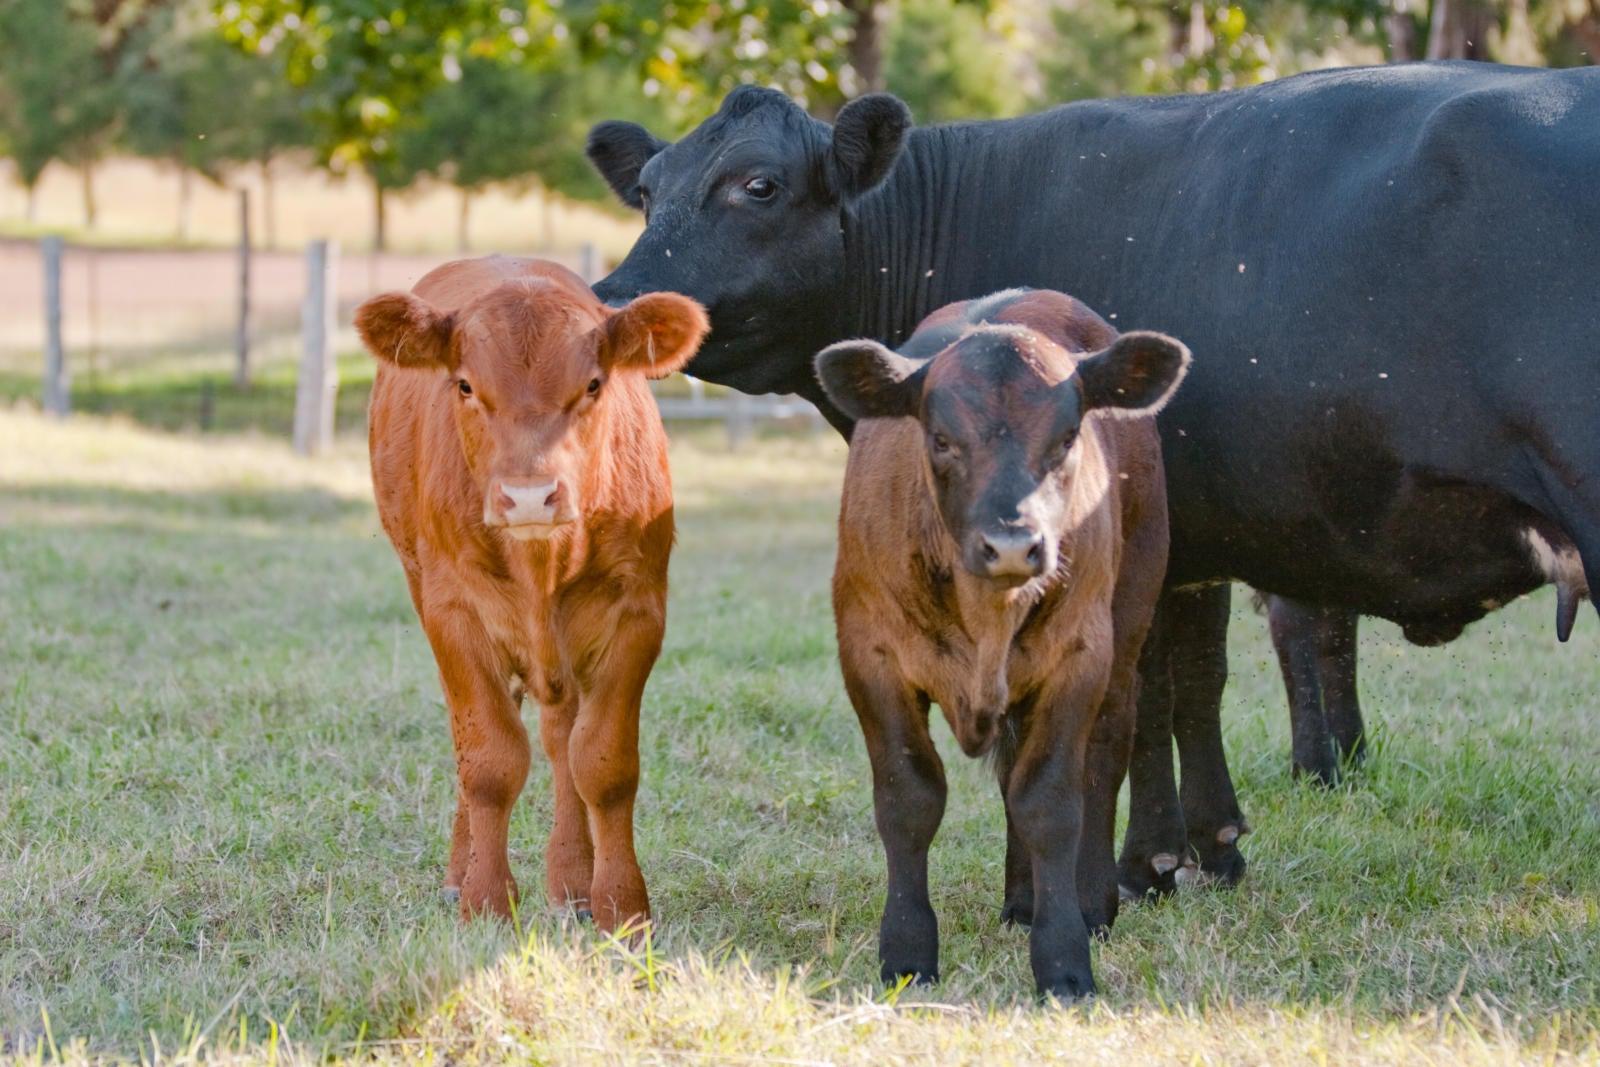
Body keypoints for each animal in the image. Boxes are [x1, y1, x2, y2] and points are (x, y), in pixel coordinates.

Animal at [356, 254, 707, 927]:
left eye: (593, 384)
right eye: (465, 385)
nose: (527, 496)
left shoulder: (638, 616)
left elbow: (603, 764)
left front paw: (621, 906)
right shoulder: (453, 614)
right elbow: (490, 760)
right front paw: (485, 898)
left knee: (560, 740)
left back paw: (571, 879)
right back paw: (460, 872)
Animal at [588, 62, 1600, 908]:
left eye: (756, 184)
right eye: (648, 189)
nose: (613, 299)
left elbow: (1140, 693)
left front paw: (1134, 866)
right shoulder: (1194, 529)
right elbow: (1192, 681)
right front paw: (1209, 847)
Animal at [819, 286, 1184, 1004]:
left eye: (1067, 438)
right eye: (941, 438)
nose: (1014, 544)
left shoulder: (1080, 657)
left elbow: (1051, 799)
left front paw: (1064, 956)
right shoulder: (869, 655)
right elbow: (909, 796)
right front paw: (907, 951)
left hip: (1128, 621)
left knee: (1103, 756)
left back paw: (1087, 900)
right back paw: (1021, 899)